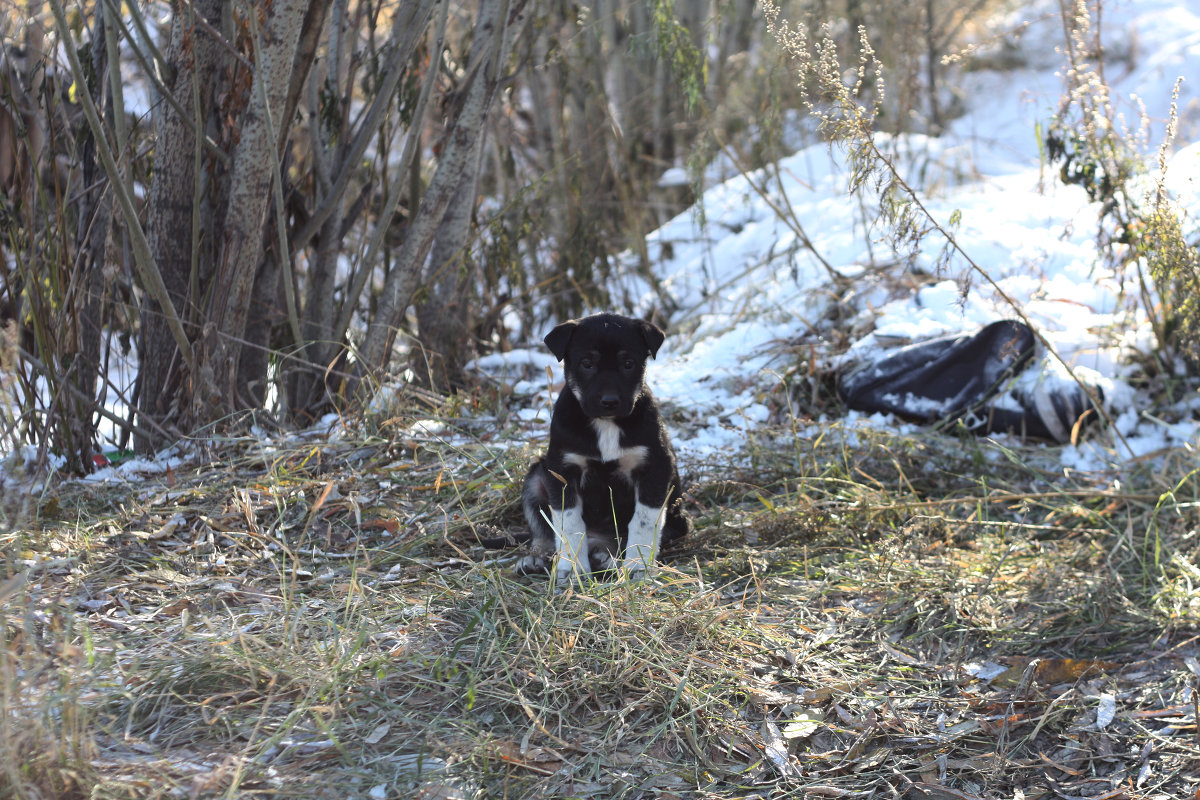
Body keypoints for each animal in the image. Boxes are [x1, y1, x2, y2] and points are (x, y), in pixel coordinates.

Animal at [518, 311, 696, 582]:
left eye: (628, 364)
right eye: (587, 363)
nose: (609, 401)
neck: (606, 424)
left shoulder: (654, 468)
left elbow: (643, 521)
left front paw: (638, 565)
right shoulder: (562, 470)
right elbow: (569, 524)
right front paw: (573, 568)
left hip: (679, 521)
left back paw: (608, 558)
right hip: (537, 476)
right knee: (543, 531)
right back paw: (536, 558)